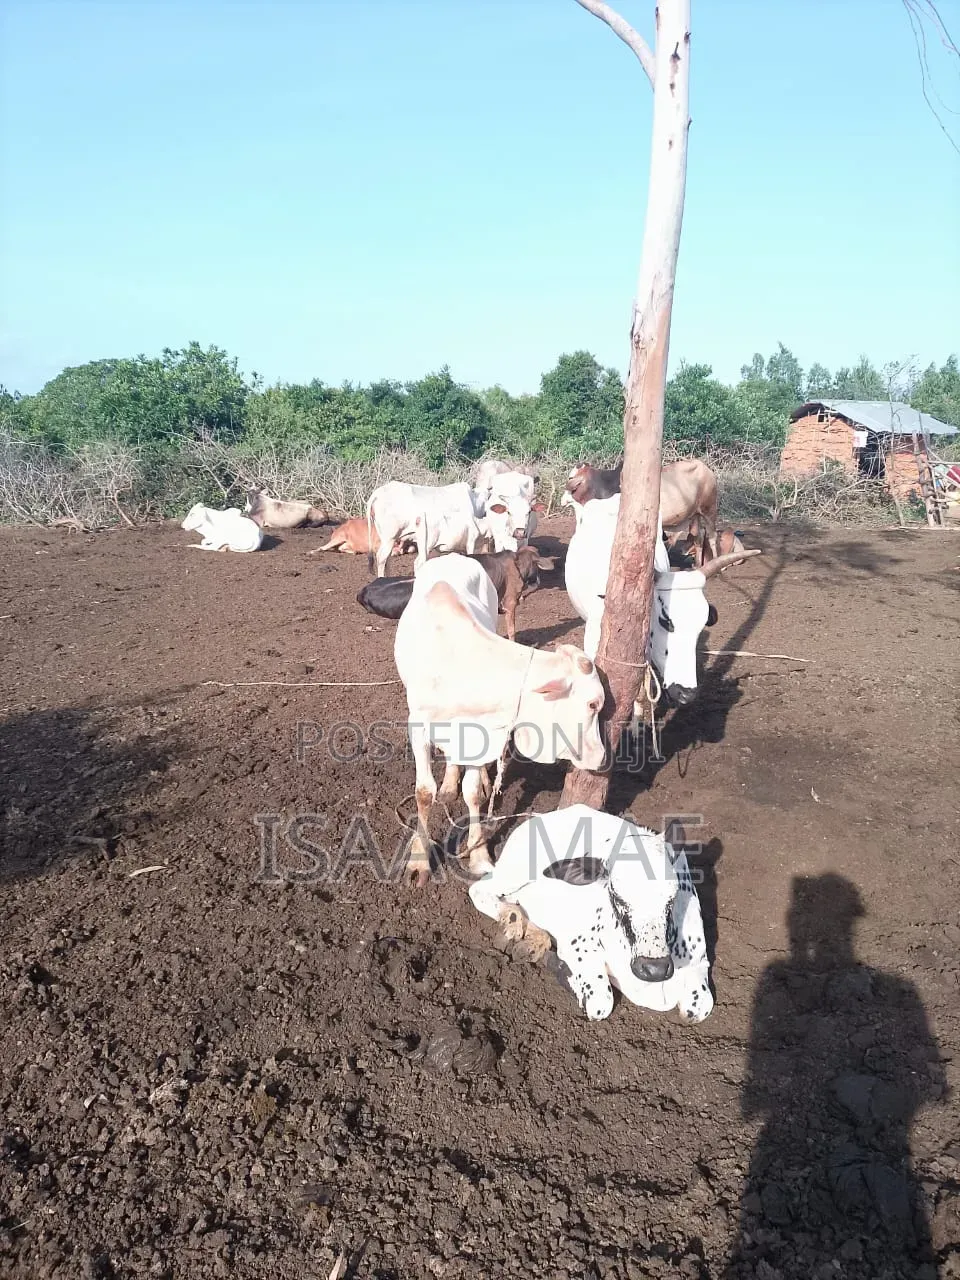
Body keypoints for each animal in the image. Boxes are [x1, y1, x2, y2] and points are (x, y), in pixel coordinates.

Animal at [394, 554, 605, 886]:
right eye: (593, 703)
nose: (602, 756)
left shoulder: (481, 733)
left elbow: (472, 795)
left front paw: (478, 854)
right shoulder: (418, 728)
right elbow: (424, 792)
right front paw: (419, 860)